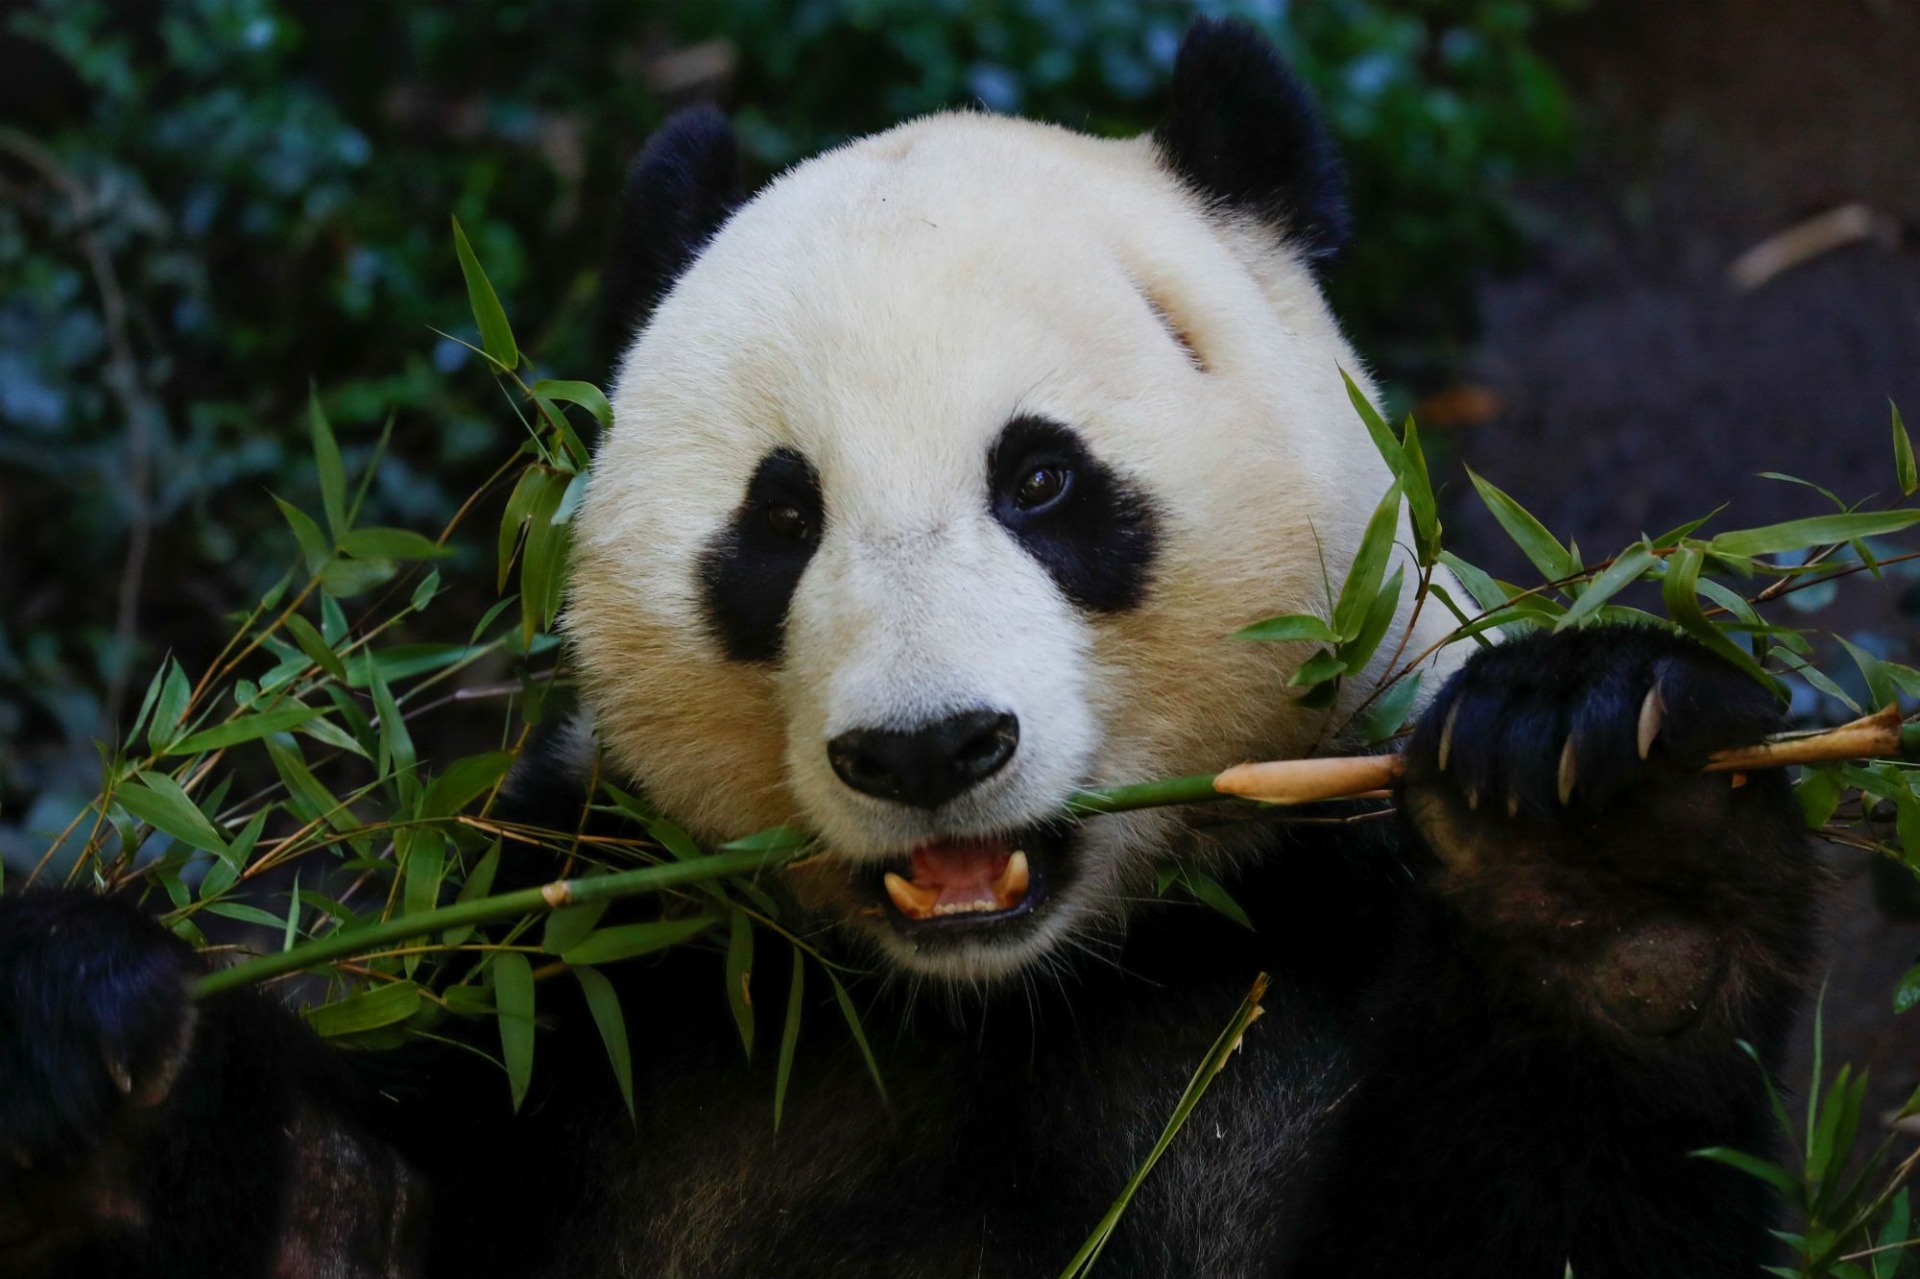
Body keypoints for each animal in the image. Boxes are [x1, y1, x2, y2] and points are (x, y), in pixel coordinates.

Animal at [0, 19, 1819, 1279]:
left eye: (1044, 478)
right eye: (780, 516)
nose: (929, 748)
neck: (996, 998)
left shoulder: (1318, 907)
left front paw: (1598, 836)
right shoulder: (606, 959)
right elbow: (351, 1209)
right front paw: (89, 1042)